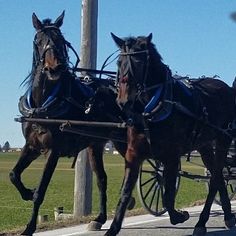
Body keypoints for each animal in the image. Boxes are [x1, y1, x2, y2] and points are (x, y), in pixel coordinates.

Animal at [9, 12, 127, 234]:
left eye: (61, 40)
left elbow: (42, 190)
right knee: (102, 179)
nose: (55, 67)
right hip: (95, 145)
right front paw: (27, 192)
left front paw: (29, 227)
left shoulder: (53, 151)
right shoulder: (32, 146)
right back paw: (99, 218)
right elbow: (14, 174)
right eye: (39, 41)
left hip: (123, 141)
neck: (43, 105)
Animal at [102, 33, 236, 236]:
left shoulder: (171, 157)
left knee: (214, 179)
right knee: (219, 176)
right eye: (119, 62)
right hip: (205, 145)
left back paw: (201, 222)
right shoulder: (133, 155)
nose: (123, 101)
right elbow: (124, 194)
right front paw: (112, 229)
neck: (152, 108)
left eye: (139, 62)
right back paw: (227, 216)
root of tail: (227, 88)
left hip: (223, 139)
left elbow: (168, 195)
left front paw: (180, 215)